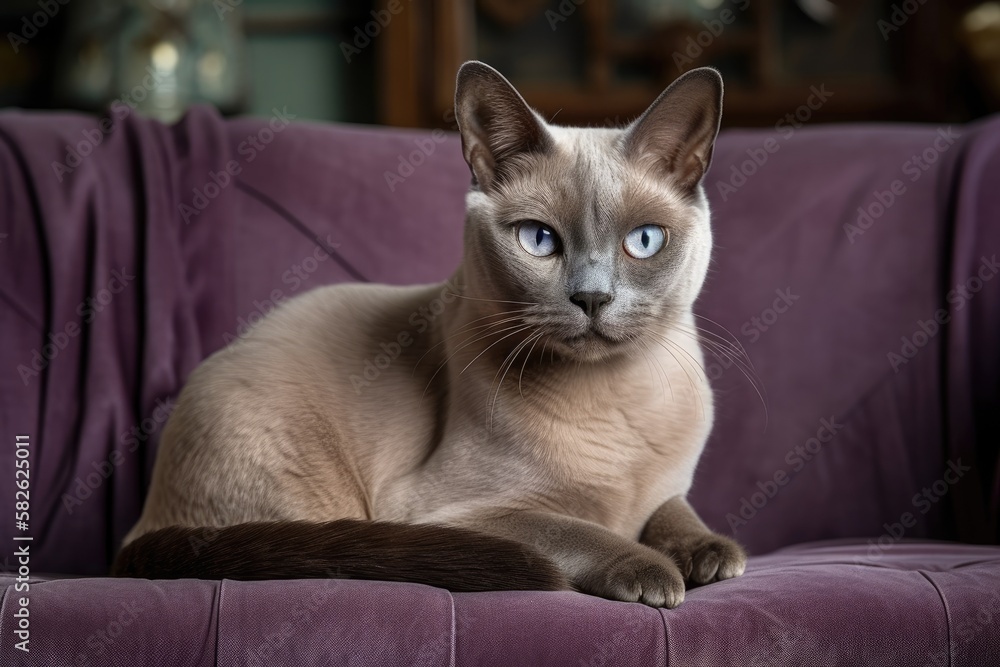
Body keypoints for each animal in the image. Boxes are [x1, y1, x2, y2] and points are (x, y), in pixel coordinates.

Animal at [113, 62, 748, 612]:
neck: (616, 398)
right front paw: (655, 573)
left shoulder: (666, 488)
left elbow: (675, 512)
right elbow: (576, 529)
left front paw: (713, 556)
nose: (591, 298)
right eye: (539, 240)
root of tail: (133, 531)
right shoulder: (455, 512)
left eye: (644, 241)